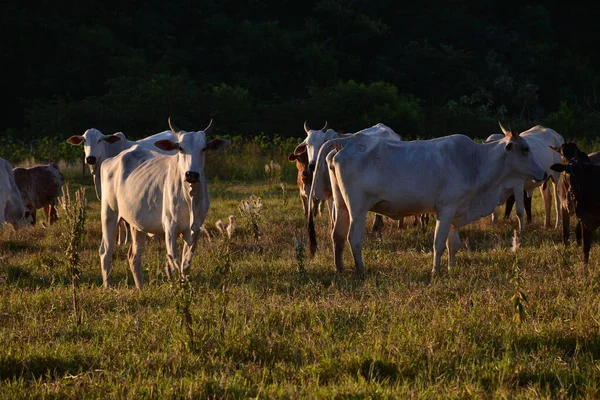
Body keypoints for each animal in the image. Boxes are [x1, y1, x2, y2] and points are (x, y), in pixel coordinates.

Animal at [98, 119, 230, 288]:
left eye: (204, 148)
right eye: (180, 147)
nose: (192, 174)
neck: (190, 197)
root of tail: (110, 160)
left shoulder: (196, 229)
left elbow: (185, 265)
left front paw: (184, 286)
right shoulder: (170, 228)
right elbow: (174, 262)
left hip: (136, 224)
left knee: (134, 257)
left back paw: (140, 288)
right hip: (109, 213)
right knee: (106, 251)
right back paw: (108, 286)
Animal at [310, 125, 548, 276]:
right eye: (525, 149)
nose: (544, 173)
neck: (475, 161)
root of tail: (349, 140)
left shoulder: (455, 211)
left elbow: (453, 244)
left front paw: (452, 268)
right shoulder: (446, 209)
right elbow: (439, 243)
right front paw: (436, 271)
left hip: (341, 204)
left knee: (337, 235)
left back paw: (339, 268)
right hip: (357, 209)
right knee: (354, 238)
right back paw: (361, 270)